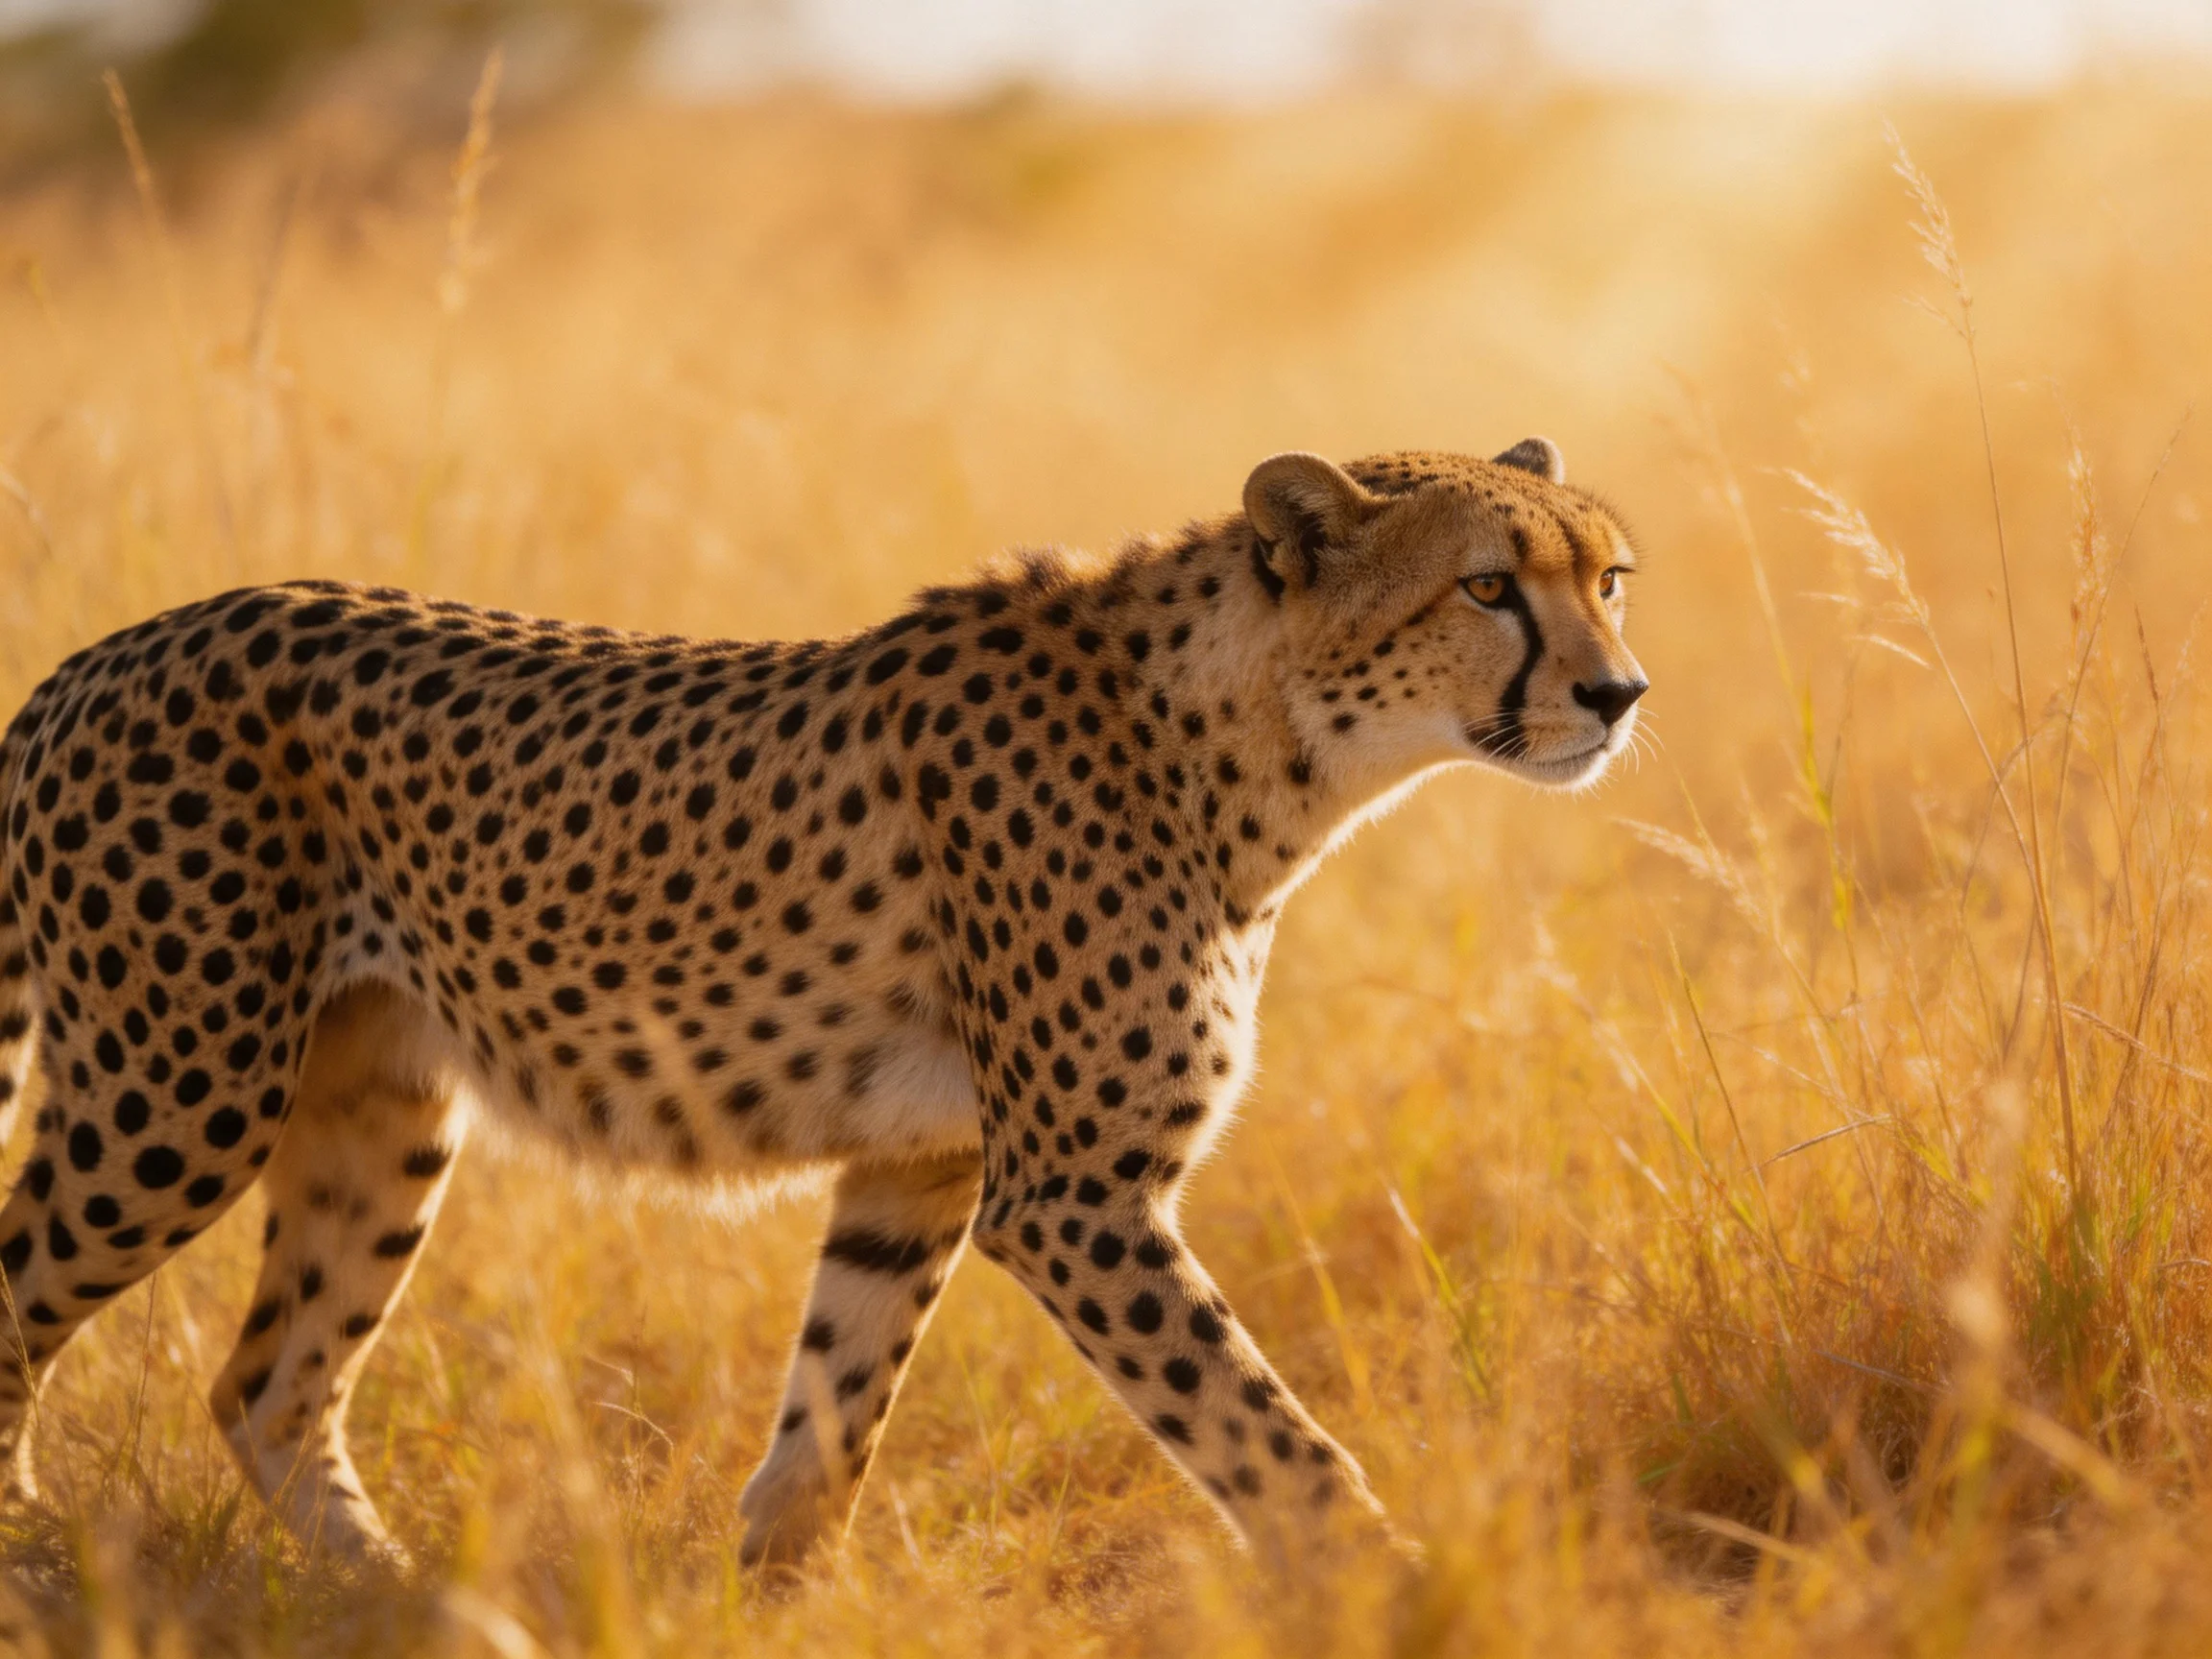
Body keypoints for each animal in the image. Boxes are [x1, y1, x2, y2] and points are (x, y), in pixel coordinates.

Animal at [0, 440, 1646, 1570]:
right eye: (1488, 585)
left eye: (1609, 579)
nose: (1621, 694)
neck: (1252, 744)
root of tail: (95, 657)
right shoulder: (1073, 1196)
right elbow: (1261, 1431)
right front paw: (1394, 1581)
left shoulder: (921, 1164)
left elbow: (833, 1417)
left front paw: (770, 1593)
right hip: (175, 1093)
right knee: (32, 1301)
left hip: (373, 1105)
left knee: (266, 1386)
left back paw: (401, 1597)